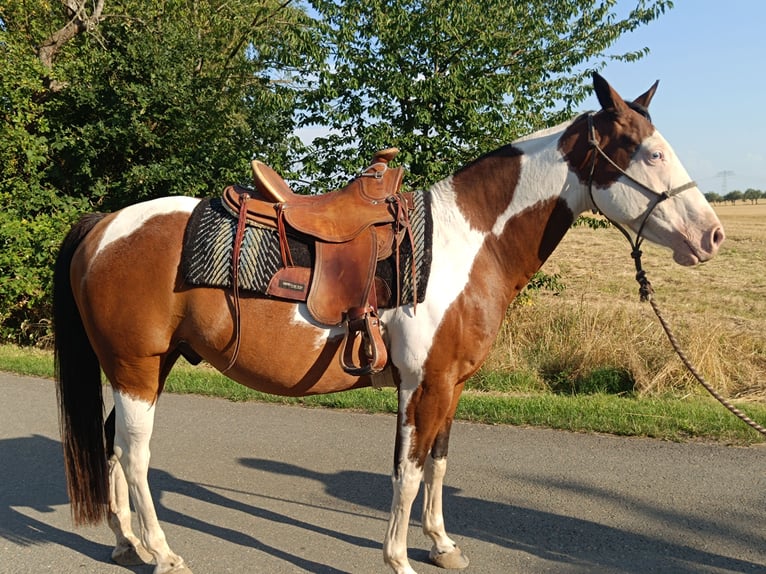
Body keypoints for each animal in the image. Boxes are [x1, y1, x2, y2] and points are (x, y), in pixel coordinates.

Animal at [53, 73, 724, 574]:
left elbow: (439, 464)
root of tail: (105, 223)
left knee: (113, 448)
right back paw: (162, 552)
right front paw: (398, 556)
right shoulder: (422, 385)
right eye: (652, 152)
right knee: (134, 455)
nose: (712, 236)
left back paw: (126, 543)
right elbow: (407, 469)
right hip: (137, 370)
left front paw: (443, 545)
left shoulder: (451, 384)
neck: (467, 242)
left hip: (144, 369)